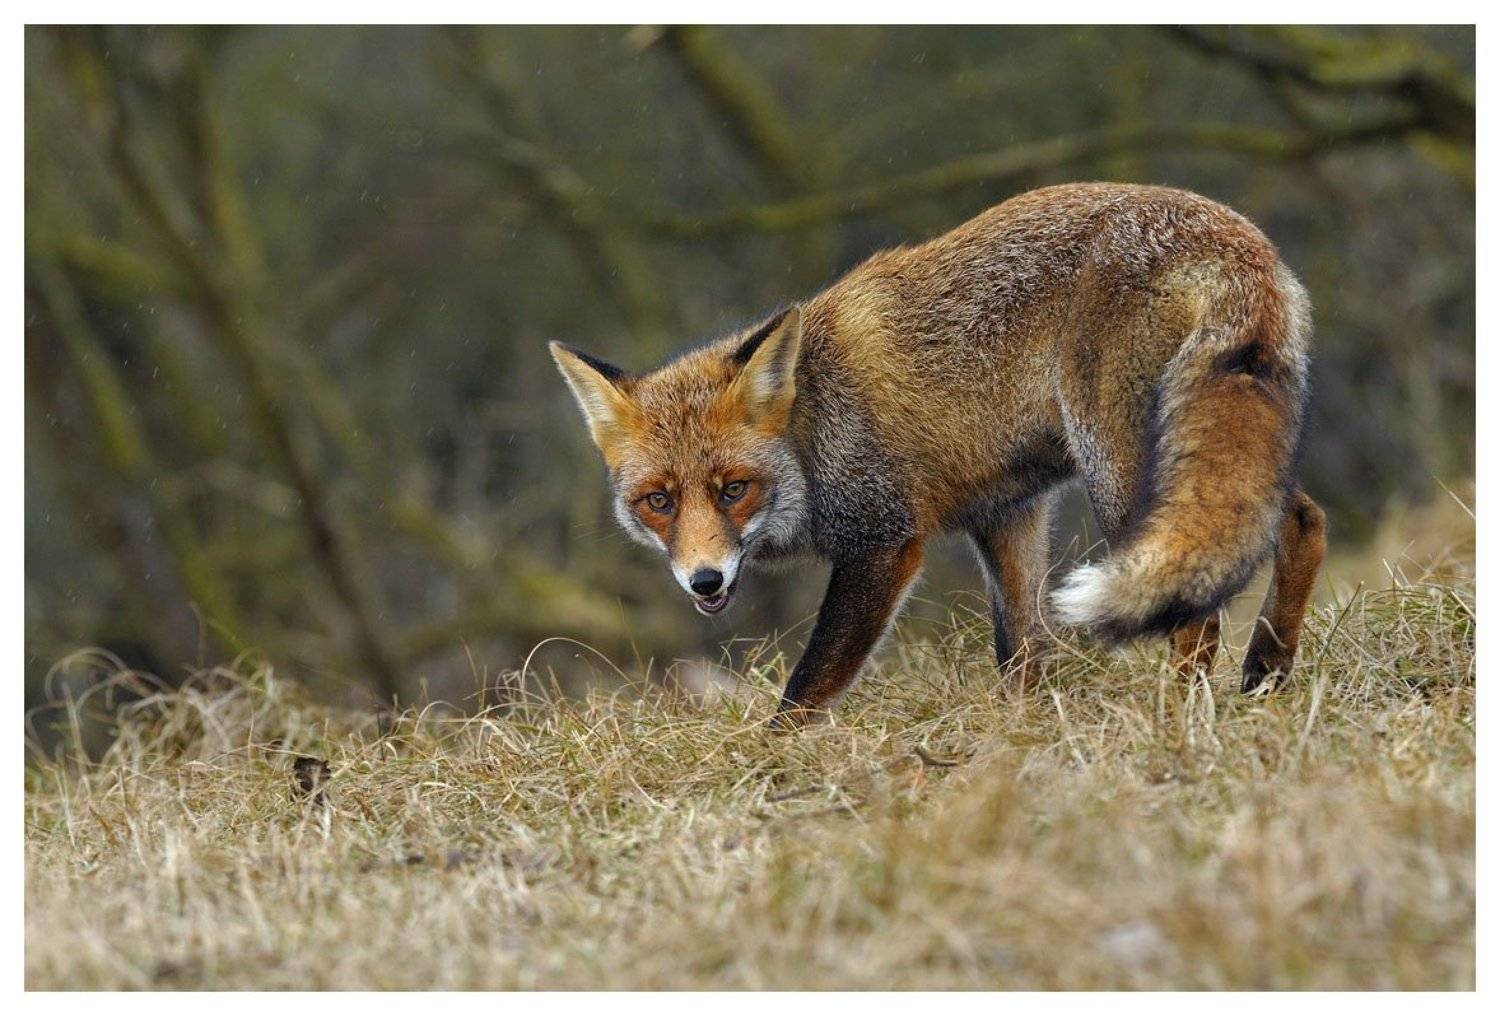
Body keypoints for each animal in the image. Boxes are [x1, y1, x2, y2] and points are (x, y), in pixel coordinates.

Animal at [550, 182, 1326, 724]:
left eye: (734, 488)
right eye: (658, 501)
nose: (704, 580)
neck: (815, 426)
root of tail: (1230, 235)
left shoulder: (884, 540)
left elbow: (804, 691)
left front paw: (768, 769)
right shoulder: (1005, 512)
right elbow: (1021, 651)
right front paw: (1022, 741)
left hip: (1122, 467)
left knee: (1197, 610)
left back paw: (1179, 717)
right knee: (1299, 521)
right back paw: (1267, 672)